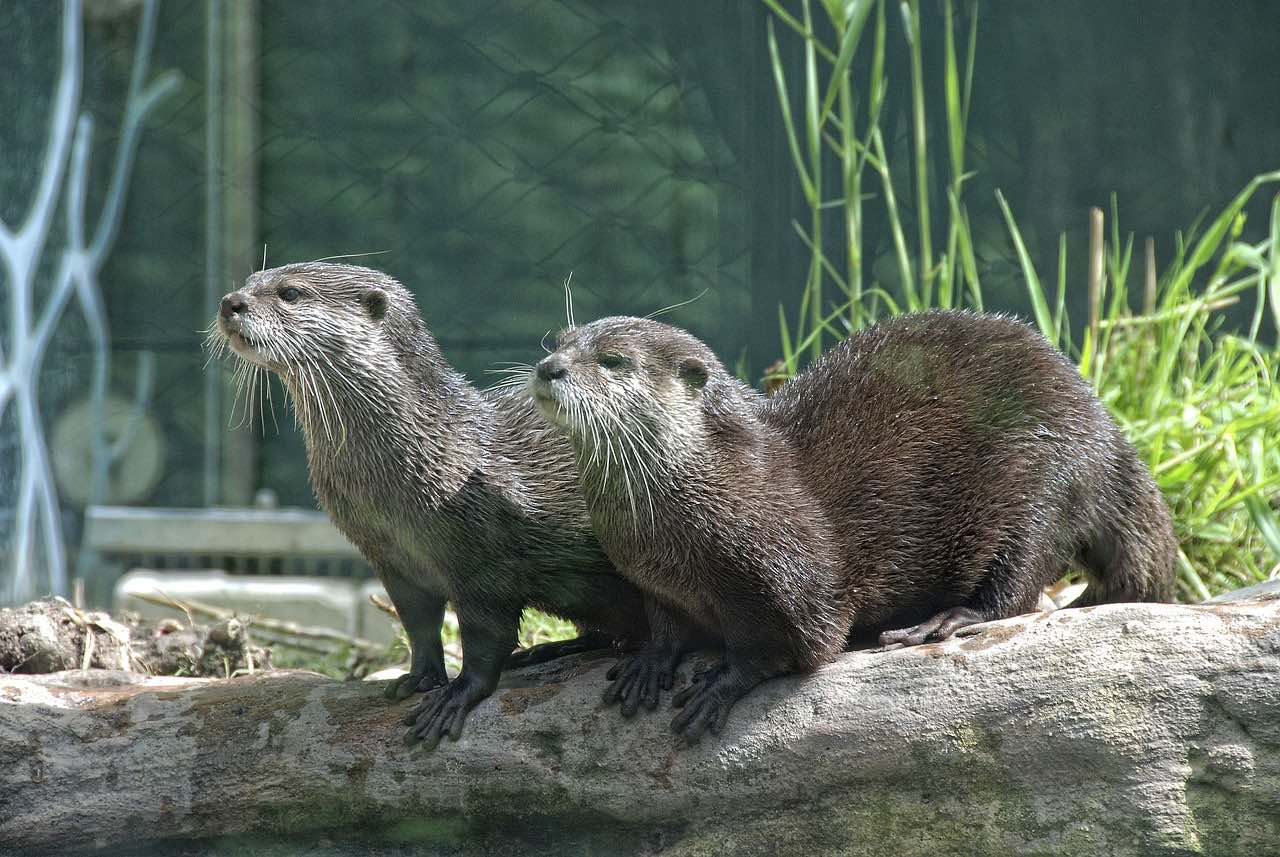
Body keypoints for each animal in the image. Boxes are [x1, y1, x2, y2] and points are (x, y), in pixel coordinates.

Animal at [215, 263, 650, 752]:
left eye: (290, 293)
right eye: (250, 281)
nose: (231, 302)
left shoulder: (484, 562)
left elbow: (486, 636)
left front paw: (457, 694)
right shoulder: (390, 559)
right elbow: (419, 624)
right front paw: (417, 679)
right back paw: (551, 649)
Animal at [529, 312, 1177, 741]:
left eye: (614, 361)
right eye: (556, 341)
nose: (548, 367)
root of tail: (1104, 429)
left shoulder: (793, 574)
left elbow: (799, 643)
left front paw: (725, 680)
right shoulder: (653, 581)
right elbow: (665, 627)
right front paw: (650, 662)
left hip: (1043, 480)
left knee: (1017, 584)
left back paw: (941, 621)